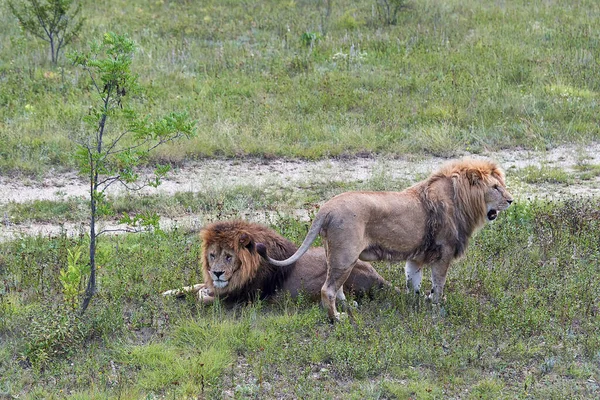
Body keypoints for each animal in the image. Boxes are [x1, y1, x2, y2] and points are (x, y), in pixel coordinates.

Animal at [162, 219, 392, 304]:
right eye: (212, 255)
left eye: (229, 256)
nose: (217, 273)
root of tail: (380, 279)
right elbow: (196, 285)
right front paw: (169, 292)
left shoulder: (241, 297)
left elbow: (203, 296)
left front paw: (203, 293)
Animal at [255, 158, 512, 320]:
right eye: (495, 187)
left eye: (502, 186)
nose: (511, 200)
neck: (462, 199)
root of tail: (326, 208)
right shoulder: (444, 252)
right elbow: (438, 285)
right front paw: (437, 307)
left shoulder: (416, 257)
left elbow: (413, 283)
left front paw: (416, 303)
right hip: (346, 255)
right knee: (327, 289)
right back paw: (337, 318)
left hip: (335, 255)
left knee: (336, 287)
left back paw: (348, 306)